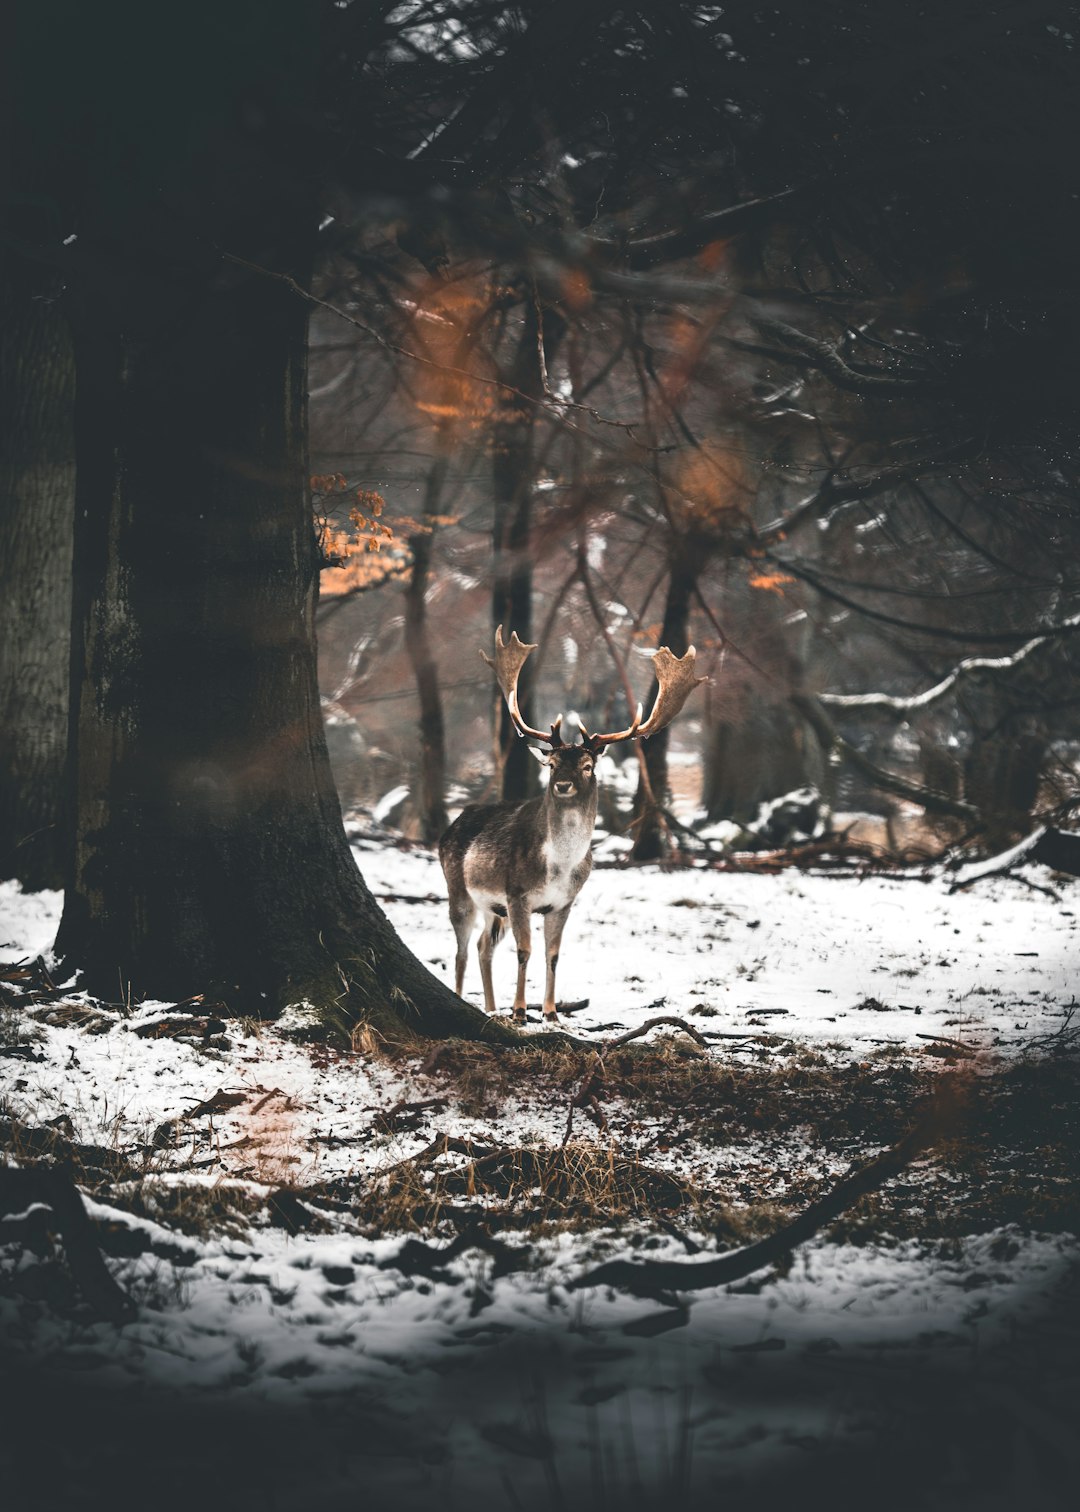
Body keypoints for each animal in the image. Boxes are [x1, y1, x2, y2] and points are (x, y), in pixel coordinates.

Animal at [438, 625, 707, 1028]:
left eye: (587, 765)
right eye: (551, 764)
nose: (562, 785)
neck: (561, 866)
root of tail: (450, 826)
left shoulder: (563, 902)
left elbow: (552, 954)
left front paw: (550, 1012)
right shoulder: (517, 893)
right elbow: (524, 950)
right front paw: (521, 1011)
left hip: (492, 907)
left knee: (484, 945)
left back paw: (490, 1007)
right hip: (458, 887)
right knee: (461, 950)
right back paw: (463, 999)